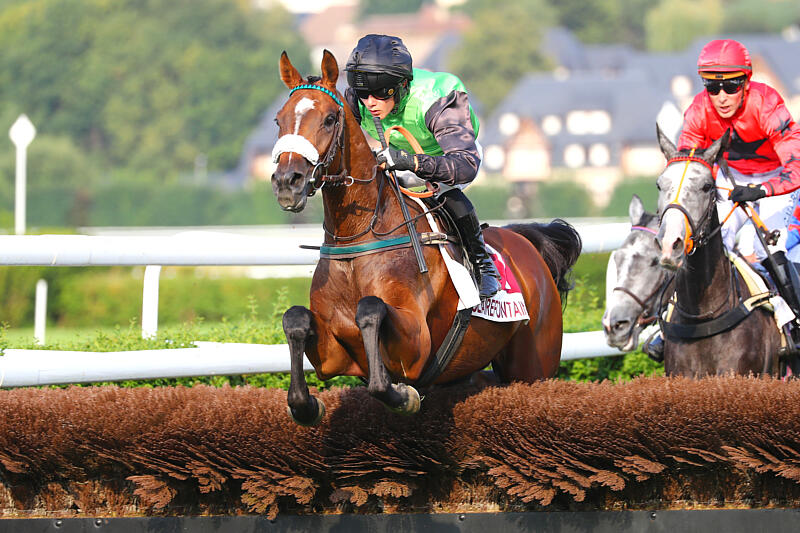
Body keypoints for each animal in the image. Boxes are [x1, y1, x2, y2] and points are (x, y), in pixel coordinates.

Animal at [271, 50, 582, 425]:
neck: (356, 241)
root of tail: (525, 243)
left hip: (534, 366)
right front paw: (307, 405)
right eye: (279, 120)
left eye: (330, 119)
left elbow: (371, 311)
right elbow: (295, 318)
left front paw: (404, 396)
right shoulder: (336, 357)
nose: (287, 182)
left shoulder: (416, 346)